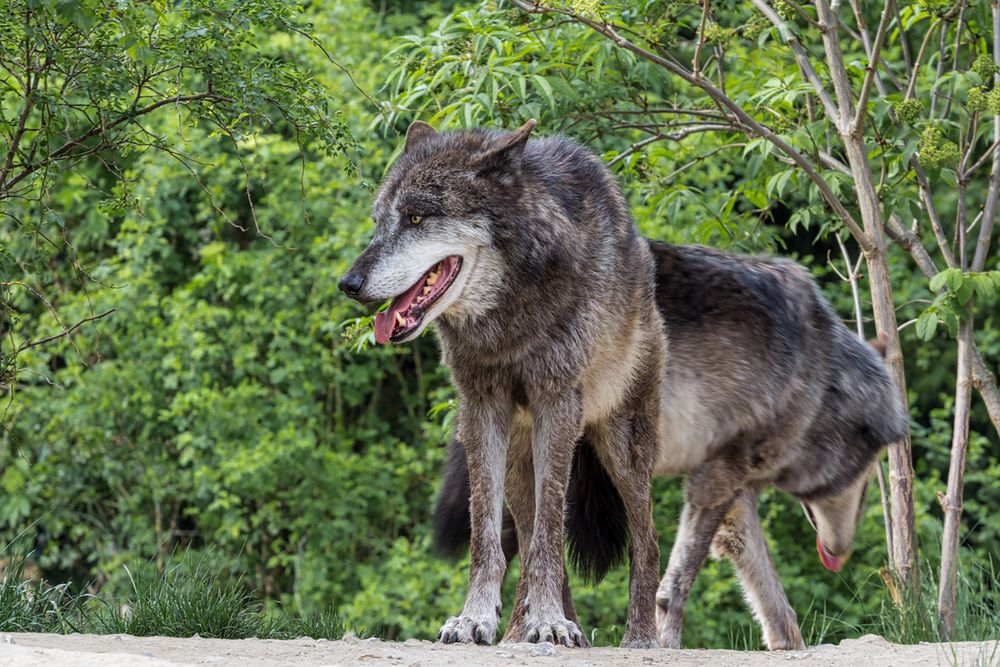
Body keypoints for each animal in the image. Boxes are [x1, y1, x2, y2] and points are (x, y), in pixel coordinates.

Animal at [340, 122, 912, 648]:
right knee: (527, 537)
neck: (509, 317)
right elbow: (491, 538)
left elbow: (557, 537)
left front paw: (553, 625)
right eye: (379, 221)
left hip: (623, 449)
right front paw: (479, 621)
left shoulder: (564, 406)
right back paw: (527, 632)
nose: (348, 284)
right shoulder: (481, 408)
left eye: (417, 217)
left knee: (644, 543)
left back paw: (635, 639)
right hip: (525, 461)